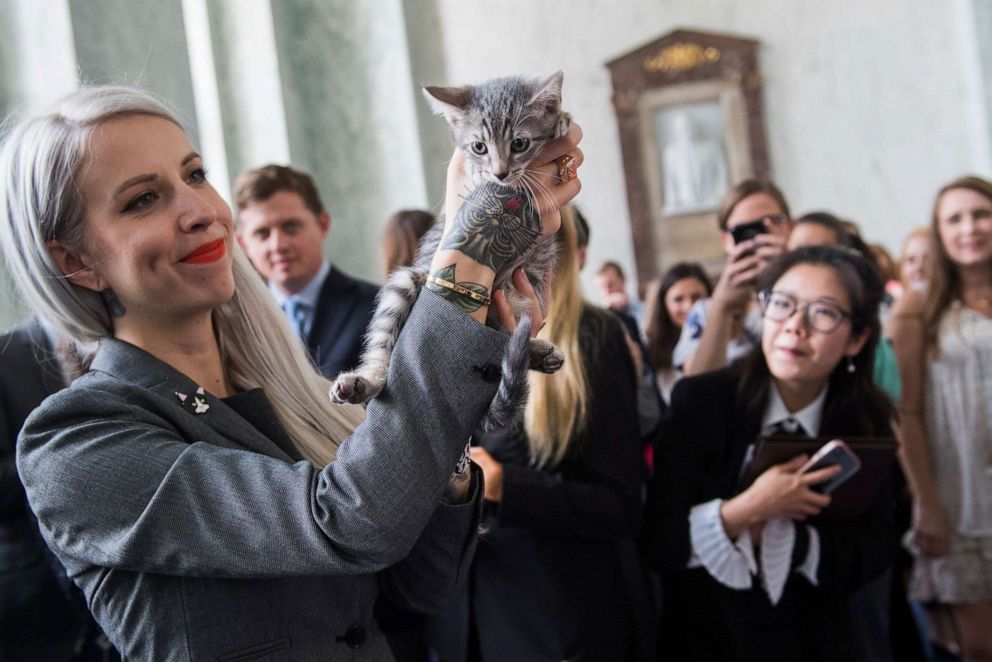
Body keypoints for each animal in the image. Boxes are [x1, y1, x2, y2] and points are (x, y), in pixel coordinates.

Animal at [332, 71, 568, 436]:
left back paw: (540, 353)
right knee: (384, 353)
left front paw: (561, 122)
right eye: (479, 147)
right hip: (407, 281)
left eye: (519, 144)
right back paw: (363, 382)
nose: (500, 172)